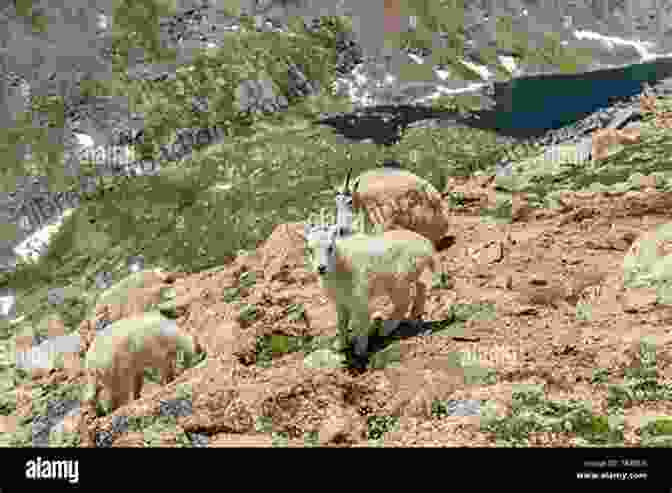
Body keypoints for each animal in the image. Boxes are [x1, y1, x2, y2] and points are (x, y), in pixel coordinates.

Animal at [300, 221, 436, 356]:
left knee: (404, 302)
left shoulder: (360, 297)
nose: (321, 268)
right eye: (309, 250)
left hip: (399, 280)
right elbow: (342, 322)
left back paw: (385, 329)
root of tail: (427, 245)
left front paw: (360, 349)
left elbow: (362, 322)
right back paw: (415, 315)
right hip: (412, 273)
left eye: (330, 248)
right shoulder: (340, 301)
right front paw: (340, 345)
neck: (340, 263)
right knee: (421, 287)